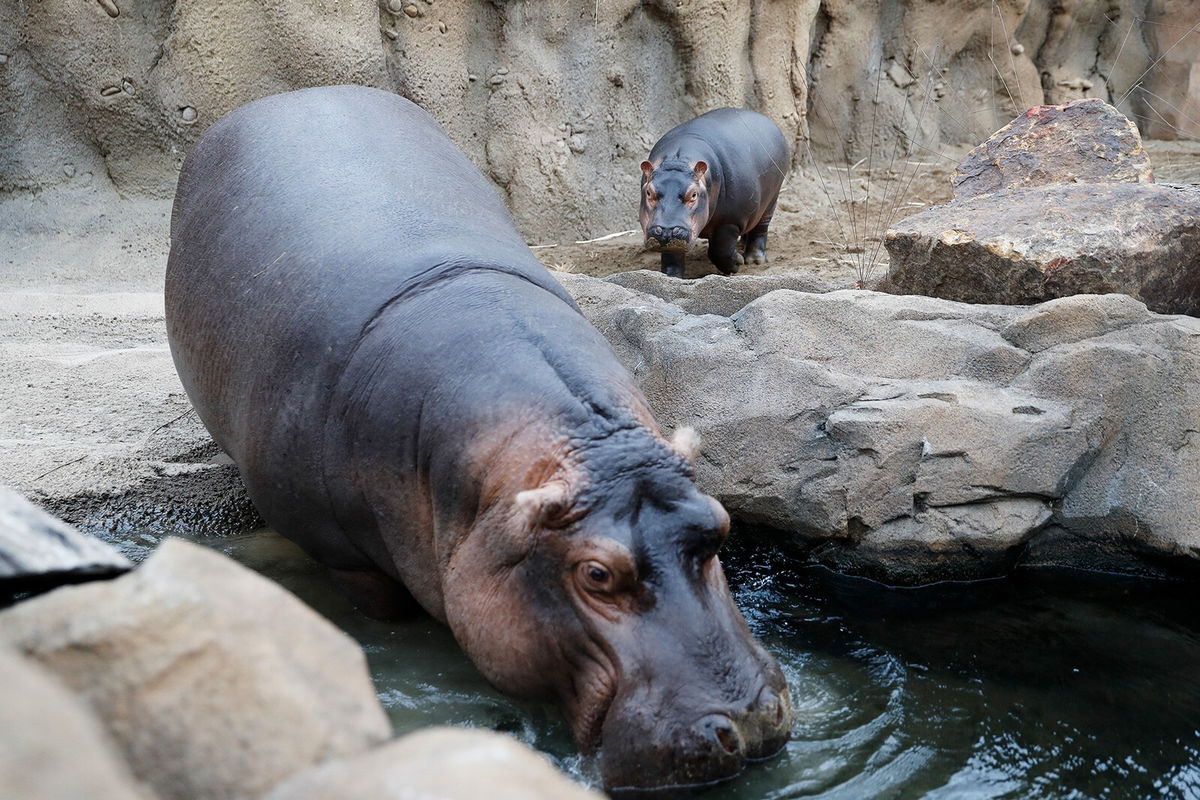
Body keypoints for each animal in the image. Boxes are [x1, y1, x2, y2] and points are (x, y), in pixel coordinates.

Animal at [638, 107, 787, 278]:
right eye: (649, 192)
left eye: (693, 194)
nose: (666, 231)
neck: (678, 161)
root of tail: (768, 121)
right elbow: (672, 255)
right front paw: (672, 277)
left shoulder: (730, 221)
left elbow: (719, 251)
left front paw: (737, 262)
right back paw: (742, 244)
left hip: (771, 199)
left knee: (761, 228)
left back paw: (754, 260)